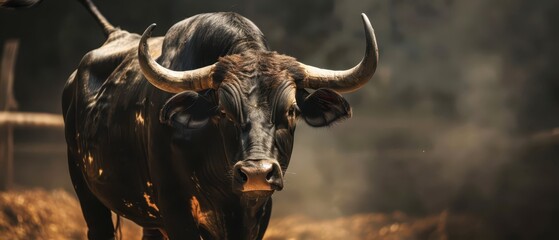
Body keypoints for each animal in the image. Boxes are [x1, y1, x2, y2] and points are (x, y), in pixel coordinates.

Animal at [6, 0, 378, 240]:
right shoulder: (178, 213)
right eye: (224, 111)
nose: (257, 173)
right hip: (87, 193)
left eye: (291, 111)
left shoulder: (257, 214)